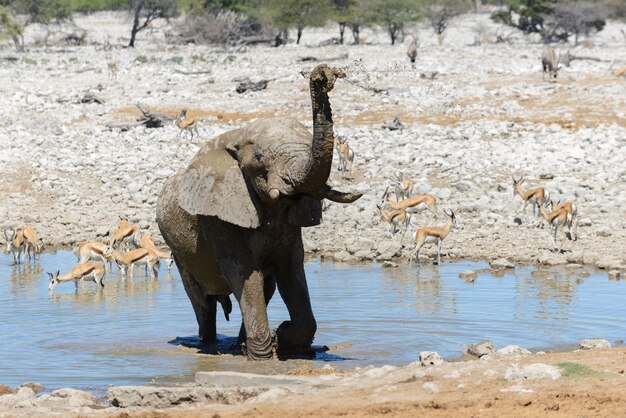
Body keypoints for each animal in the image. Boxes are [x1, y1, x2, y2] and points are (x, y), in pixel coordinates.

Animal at [156, 64, 360, 360]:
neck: (238, 136)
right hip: (179, 252)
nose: (321, 75)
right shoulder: (219, 217)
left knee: (265, 287)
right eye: (261, 158)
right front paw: (264, 356)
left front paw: (285, 338)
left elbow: (290, 268)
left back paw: (240, 346)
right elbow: (242, 270)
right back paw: (209, 345)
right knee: (202, 303)